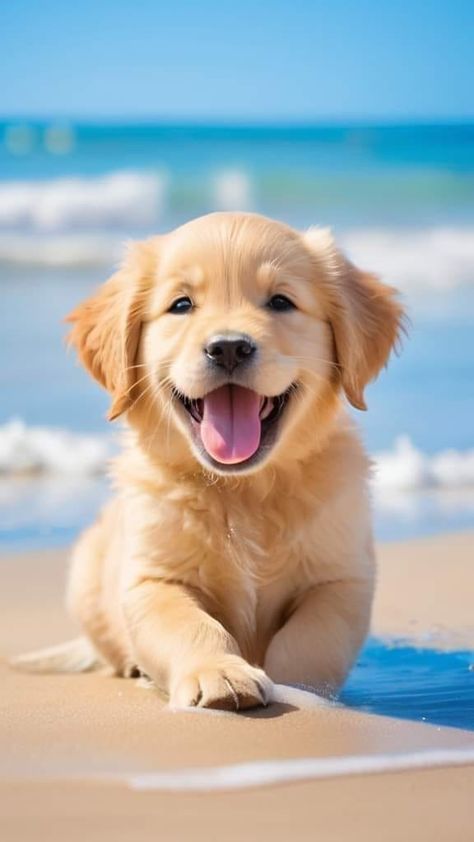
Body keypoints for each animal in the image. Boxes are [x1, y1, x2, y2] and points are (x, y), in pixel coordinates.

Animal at [12, 212, 402, 708]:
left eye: (281, 301)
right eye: (181, 305)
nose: (230, 347)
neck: (245, 490)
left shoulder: (342, 580)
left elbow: (312, 640)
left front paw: (299, 691)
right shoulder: (153, 579)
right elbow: (189, 625)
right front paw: (219, 674)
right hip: (85, 570)